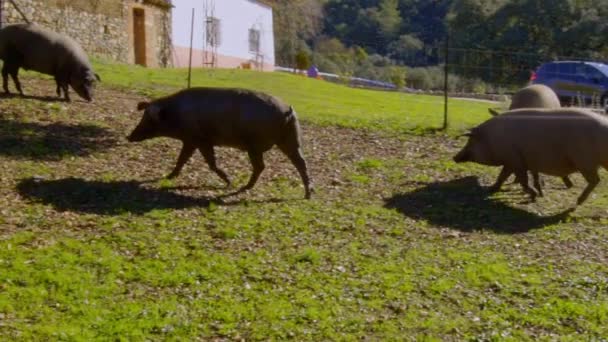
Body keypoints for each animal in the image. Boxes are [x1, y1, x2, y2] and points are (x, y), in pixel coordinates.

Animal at [125, 87, 312, 199]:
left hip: (256, 145)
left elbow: (210, 163)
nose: (128, 137)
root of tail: (288, 110)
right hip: (291, 141)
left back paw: (241, 187)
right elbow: (181, 160)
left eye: (149, 119)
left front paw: (228, 182)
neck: (175, 114)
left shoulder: (200, 139)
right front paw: (168, 177)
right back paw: (308, 194)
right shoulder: (190, 141)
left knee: (262, 166)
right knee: (300, 164)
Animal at [452, 108, 608, 206]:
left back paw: (577, 202)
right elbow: (502, 176)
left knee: (595, 180)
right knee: (595, 180)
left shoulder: (515, 161)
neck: (491, 138)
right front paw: (491, 189)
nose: (454, 157)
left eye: (471, 141)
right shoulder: (511, 161)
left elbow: (523, 181)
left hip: (585, 162)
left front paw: (533, 197)